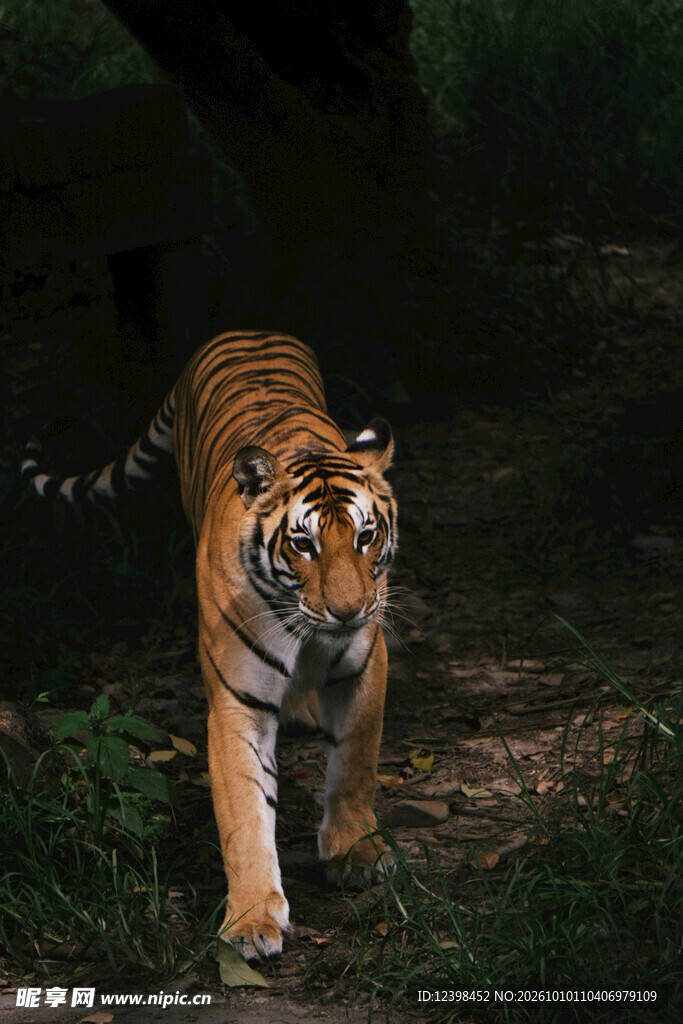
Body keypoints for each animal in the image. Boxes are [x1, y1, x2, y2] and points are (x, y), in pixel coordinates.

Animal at [22, 330, 398, 962]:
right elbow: (245, 812)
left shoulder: (364, 664)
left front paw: (356, 853)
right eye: (303, 544)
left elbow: (355, 762)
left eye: (366, 537)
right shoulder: (236, 702)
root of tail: (246, 329)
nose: (348, 612)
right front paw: (250, 921)